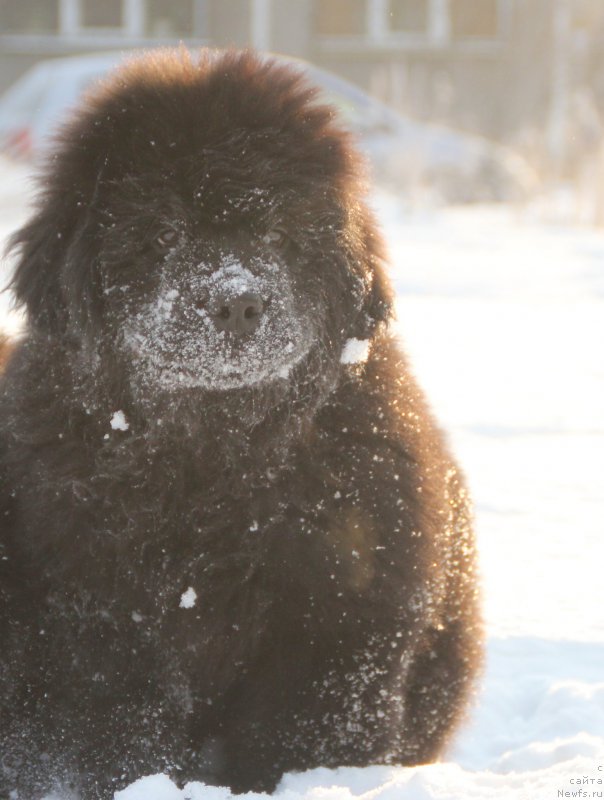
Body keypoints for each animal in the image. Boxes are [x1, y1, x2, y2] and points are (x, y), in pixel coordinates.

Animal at [0, 50, 482, 800]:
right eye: (162, 233)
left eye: (280, 234)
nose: (236, 301)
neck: (212, 469)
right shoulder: (95, 618)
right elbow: (112, 729)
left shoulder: (336, 610)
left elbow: (305, 731)